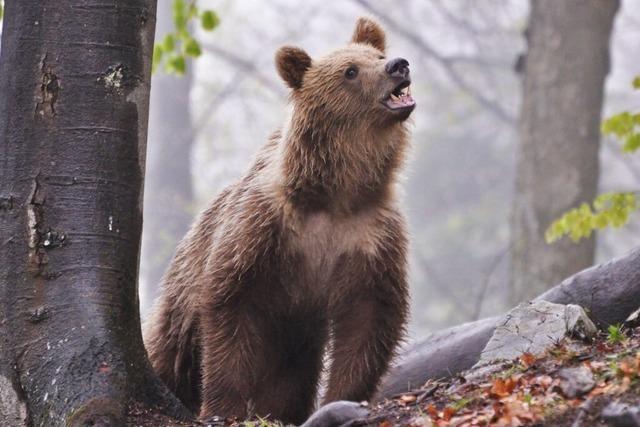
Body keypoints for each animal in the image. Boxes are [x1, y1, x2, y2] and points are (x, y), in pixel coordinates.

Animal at [144, 15, 416, 424]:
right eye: (350, 70)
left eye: (378, 55)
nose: (398, 65)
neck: (336, 194)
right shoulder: (263, 230)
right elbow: (229, 308)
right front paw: (225, 406)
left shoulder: (370, 236)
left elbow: (370, 318)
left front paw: (341, 398)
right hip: (182, 296)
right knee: (169, 350)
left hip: (295, 341)